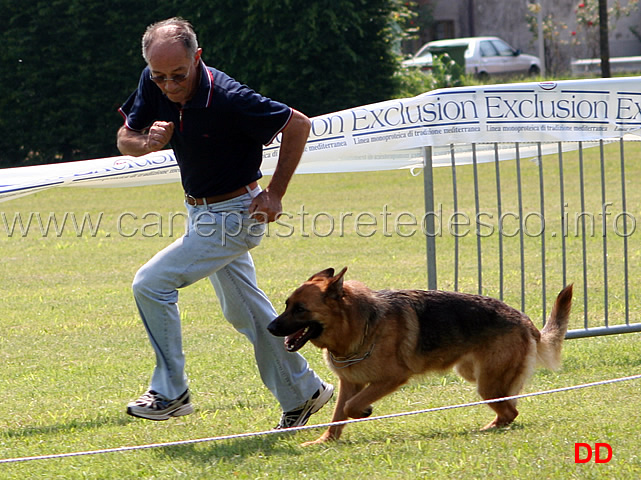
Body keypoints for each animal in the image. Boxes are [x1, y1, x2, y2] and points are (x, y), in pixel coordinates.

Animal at [268, 268, 572, 444]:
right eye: (287, 305)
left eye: (300, 309)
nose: (270, 328)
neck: (359, 324)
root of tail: (525, 320)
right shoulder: (349, 382)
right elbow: (338, 414)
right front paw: (326, 441)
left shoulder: (391, 378)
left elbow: (352, 407)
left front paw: (364, 411)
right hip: (475, 375)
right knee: (510, 408)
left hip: (487, 384)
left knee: (511, 411)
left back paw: (487, 430)